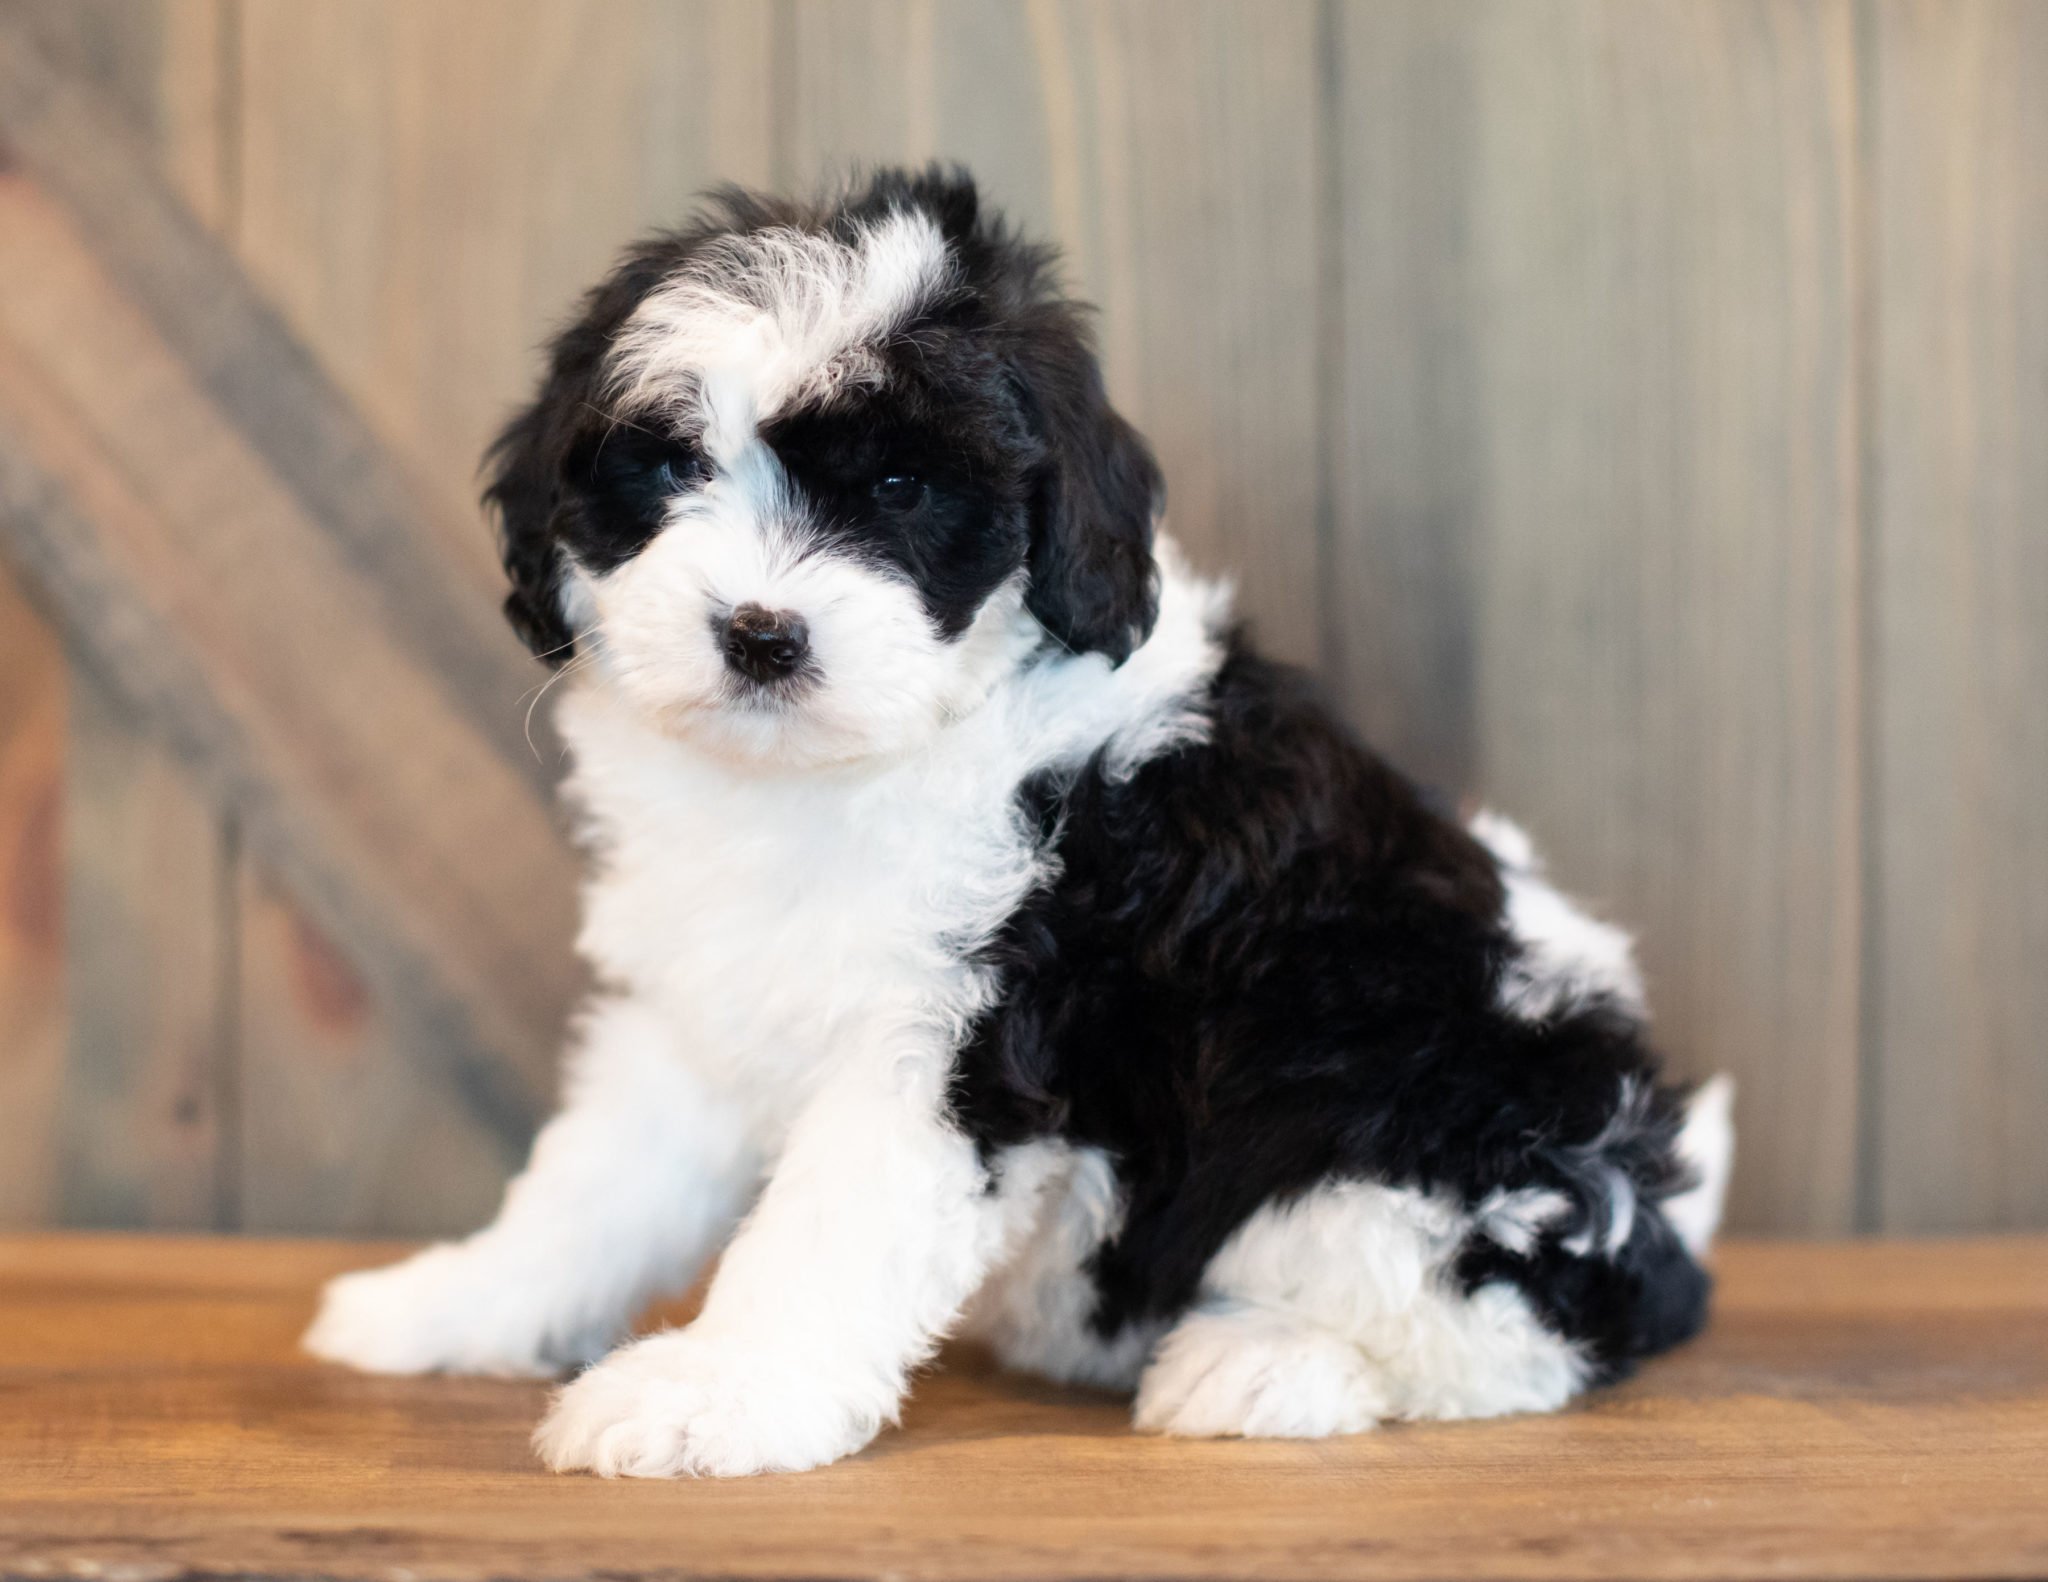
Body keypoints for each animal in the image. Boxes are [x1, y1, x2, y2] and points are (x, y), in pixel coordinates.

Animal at [311, 167, 1736, 1475]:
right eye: (667, 466)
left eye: (901, 485)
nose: (761, 633)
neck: (843, 770)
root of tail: (1669, 1215)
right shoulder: (698, 1005)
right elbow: (594, 1182)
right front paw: (453, 1303)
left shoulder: (968, 1033)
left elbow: (828, 1226)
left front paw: (716, 1392)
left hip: (1421, 1112)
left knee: (1498, 1327)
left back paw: (1264, 1364)